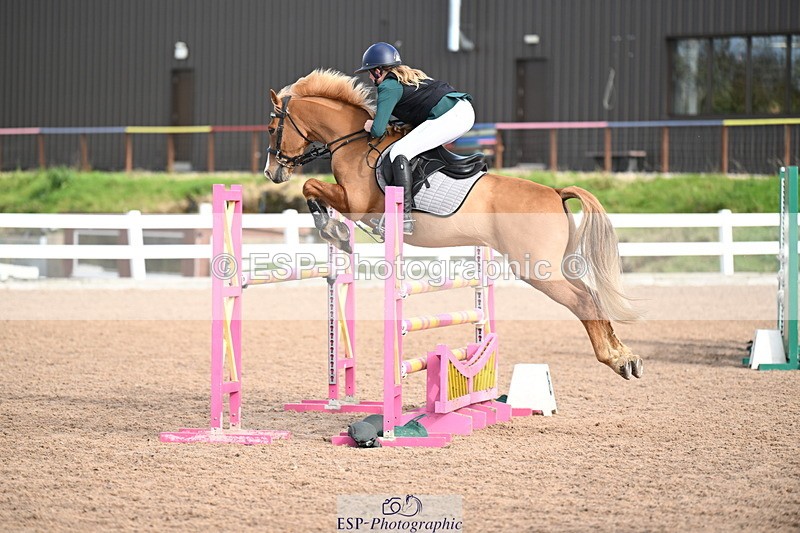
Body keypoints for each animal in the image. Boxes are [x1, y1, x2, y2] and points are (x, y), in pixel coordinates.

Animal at [263, 68, 643, 380]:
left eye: (271, 129)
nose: (272, 172)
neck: (354, 143)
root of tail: (554, 191)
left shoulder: (356, 204)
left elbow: (311, 186)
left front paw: (335, 232)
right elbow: (312, 189)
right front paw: (336, 232)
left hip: (537, 268)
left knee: (583, 302)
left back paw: (612, 358)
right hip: (556, 264)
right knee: (591, 294)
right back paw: (626, 358)